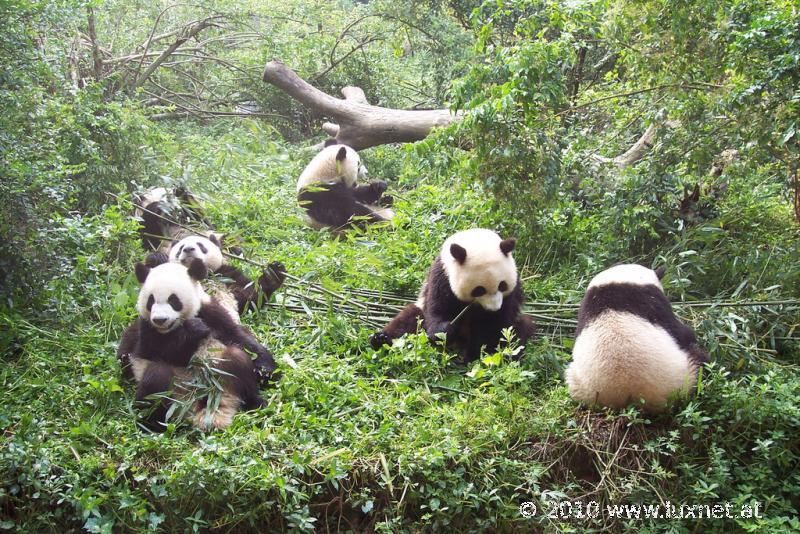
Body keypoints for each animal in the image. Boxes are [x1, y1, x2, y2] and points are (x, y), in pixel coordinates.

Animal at [115, 262, 278, 434]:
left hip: (224, 375)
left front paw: (266, 370)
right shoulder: (146, 327)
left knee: (237, 359)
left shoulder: (210, 311)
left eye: (173, 300)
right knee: (156, 378)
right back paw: (152, 424)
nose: (160, 320)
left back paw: (256, 403)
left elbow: (237, 335)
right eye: (151, 300)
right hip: (172, 393)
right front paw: (193, 331)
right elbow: (156, 351)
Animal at [370, 229, 536, 364]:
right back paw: (380, 339)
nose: (493, 308)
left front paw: (473, 355)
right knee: (409, 320)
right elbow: (437, 310)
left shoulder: (512, 289)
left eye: (502, 285)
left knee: (518, 330)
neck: (474, 239)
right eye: (479, 290)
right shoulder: (442, 275)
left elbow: (493, 325)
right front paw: (446, 330)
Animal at [564, 264, 708, 414]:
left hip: (579, 384)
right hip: (684, 376)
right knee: (699, 361)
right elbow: (680, 331)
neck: (618, 282)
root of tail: (629, 395)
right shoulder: (652, 301)